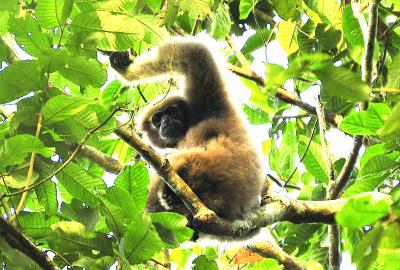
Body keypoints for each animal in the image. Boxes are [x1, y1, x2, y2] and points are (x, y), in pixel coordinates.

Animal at [109, 35, 266, 231]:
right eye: (157, 120)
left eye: (171, 112)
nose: (166, 122)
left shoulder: (210, 103)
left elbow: (195, 53)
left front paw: (125, 69)